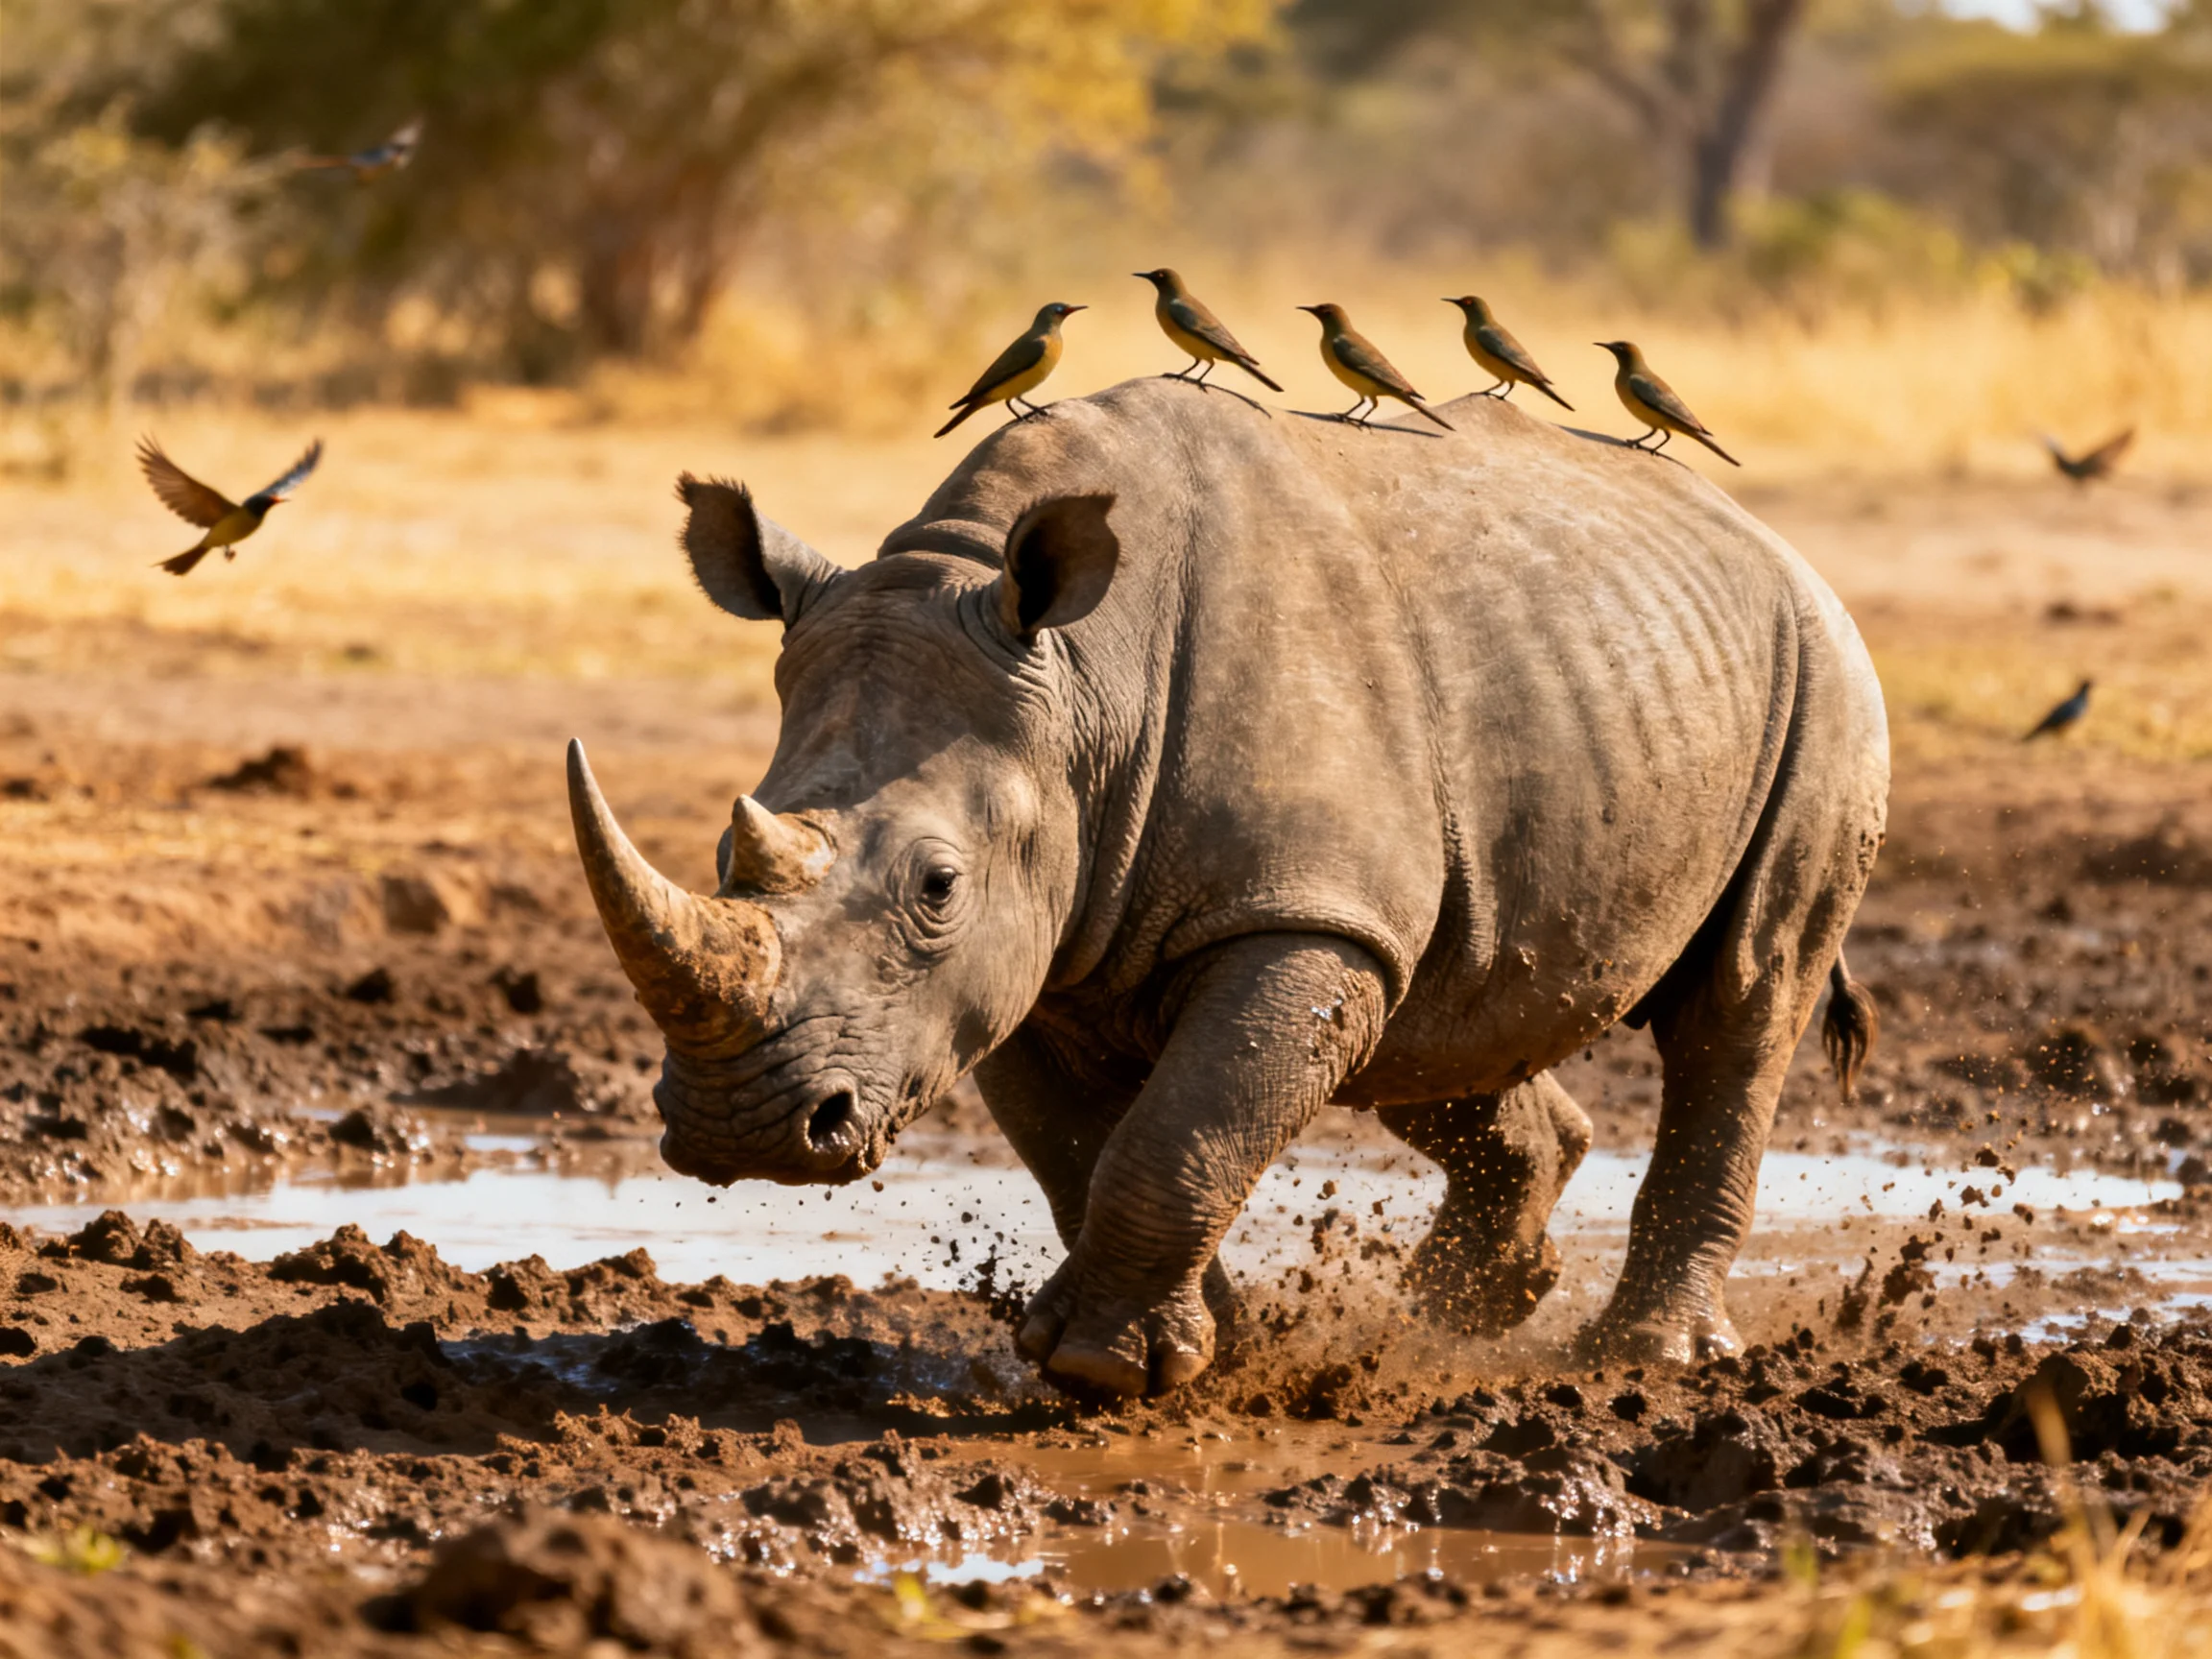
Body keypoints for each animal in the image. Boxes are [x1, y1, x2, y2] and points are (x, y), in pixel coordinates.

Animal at [566, 378, 1887, 1397]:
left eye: (937, 886)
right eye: (729, 856)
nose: (744, 1132)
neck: (1081, 685)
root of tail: (1762, 535)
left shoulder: (1285, 914)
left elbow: (1183, 1131)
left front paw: (1101, 1367)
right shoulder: (1031, 957)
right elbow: (1089, 1148)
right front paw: (1202, 1356)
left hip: (1824, 669)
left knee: (1741, 1002)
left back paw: (1640, 1360)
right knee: (1439, 1012)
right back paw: (1462, 1313)